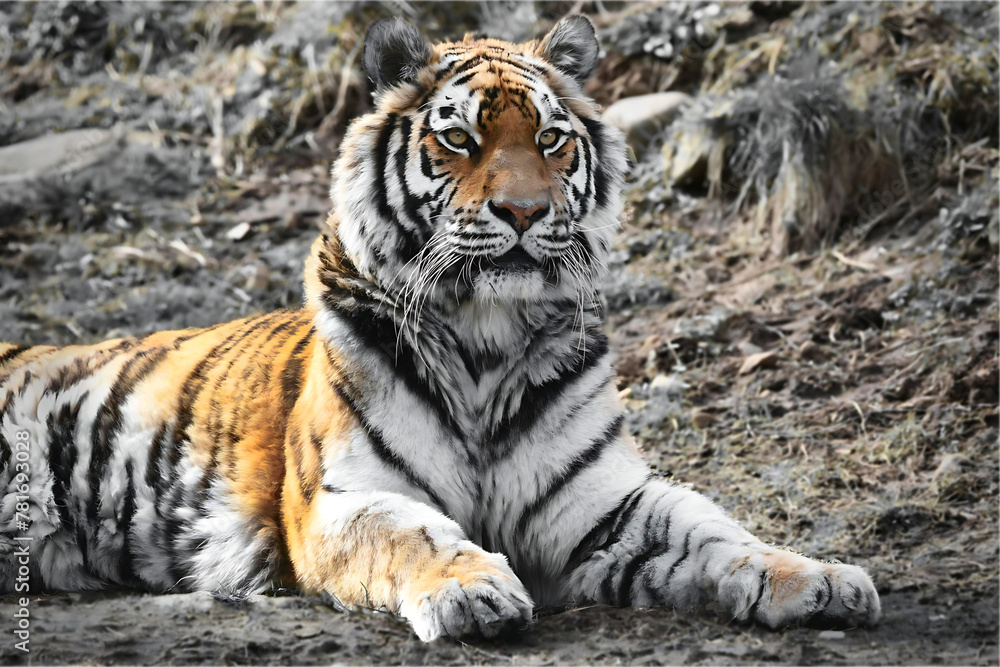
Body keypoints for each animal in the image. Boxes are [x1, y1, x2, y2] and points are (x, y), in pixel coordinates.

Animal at [0, 17, 881, 641]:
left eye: (551, 139)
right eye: (459, 137)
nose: (524, 211)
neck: (486, 337)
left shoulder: (603, 503)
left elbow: (713, 528)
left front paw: (818, 578)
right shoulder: (344, 499)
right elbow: (415, 536)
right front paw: (472, 590)